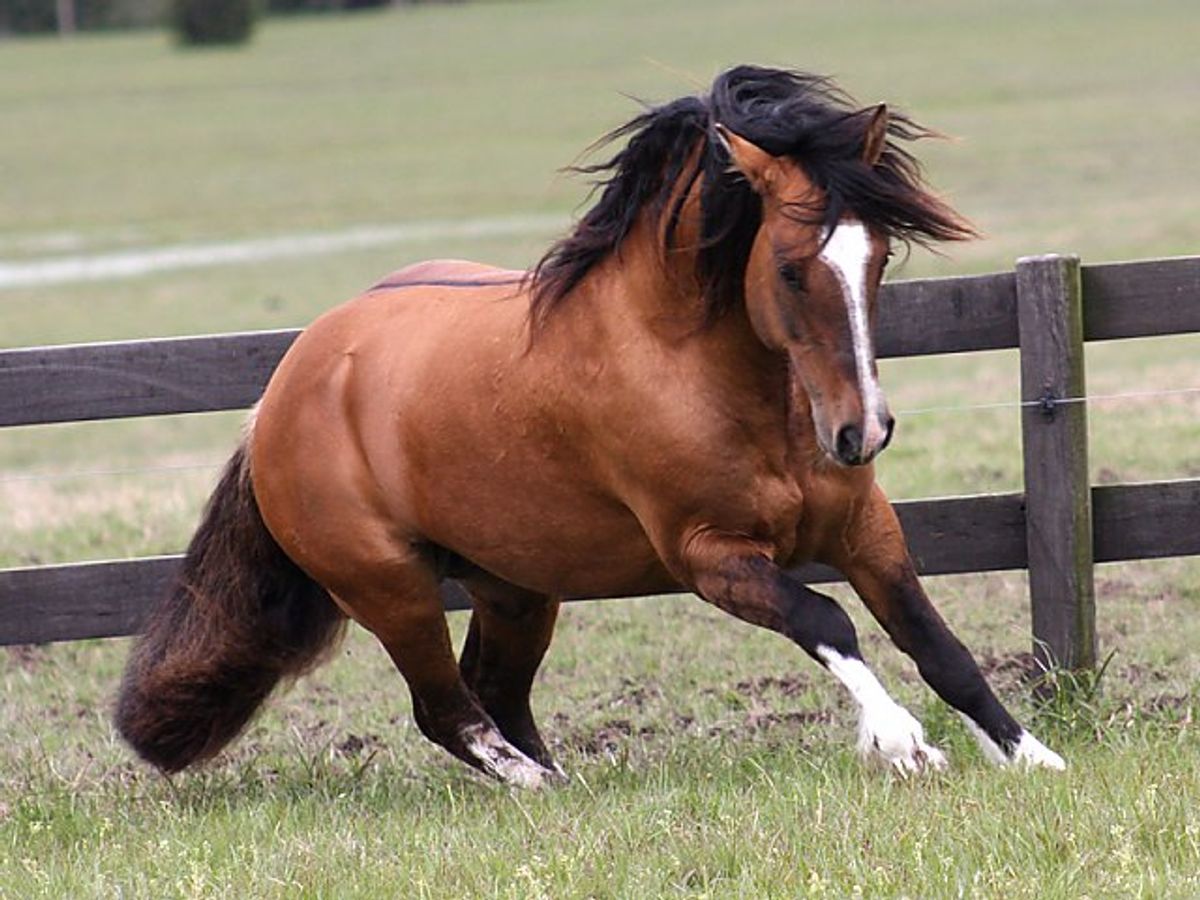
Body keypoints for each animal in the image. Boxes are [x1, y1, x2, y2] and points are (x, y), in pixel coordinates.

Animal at [117, 66, 1065, 787]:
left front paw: (1033, 757)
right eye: (794, 270)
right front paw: (901, 743)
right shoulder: (709, 556)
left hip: (516, 583)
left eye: (879, 256)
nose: (859, 434)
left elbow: (935, 643)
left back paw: (565, 775)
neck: (708, 378)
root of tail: (281, 393)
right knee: (445, 708)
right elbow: (826, 618)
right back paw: (538, 785)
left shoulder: (866, 528)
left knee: (492, 688)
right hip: (389, 587)